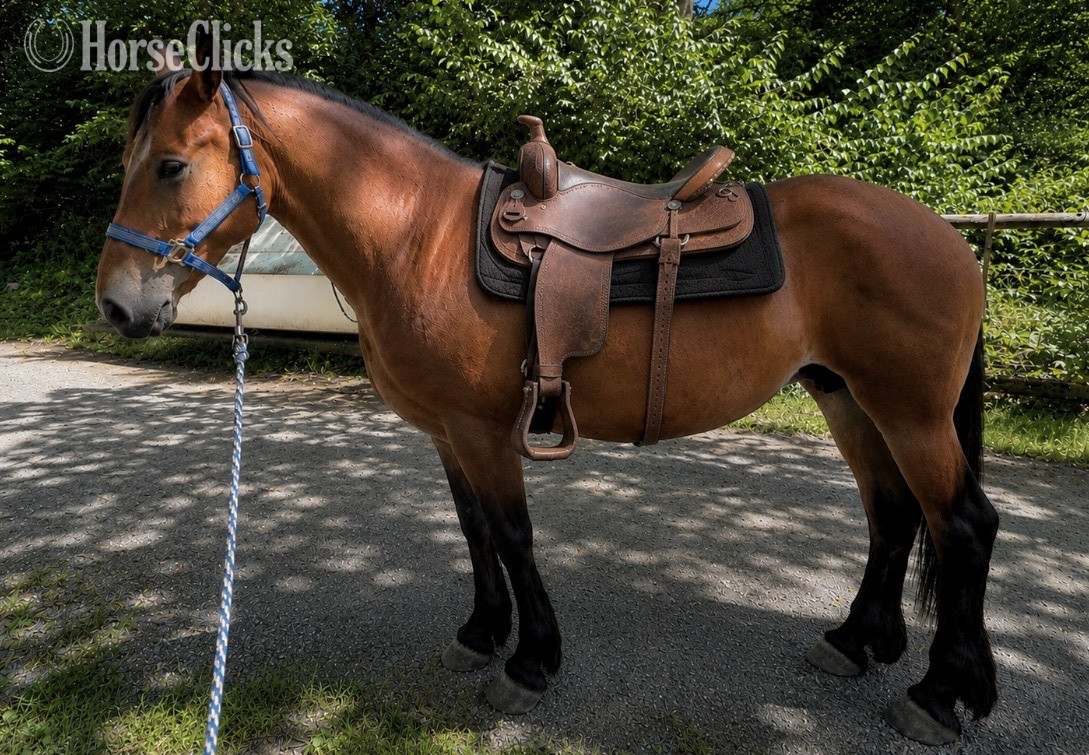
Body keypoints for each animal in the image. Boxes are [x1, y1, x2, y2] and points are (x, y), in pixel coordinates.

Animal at [95, 55, 998, 746]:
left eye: (170, 165)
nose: (116, 305)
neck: (419, 236)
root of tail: (947, 237)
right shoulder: (446, 432)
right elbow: (473, 532)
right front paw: (480, 633)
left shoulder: (483, 429)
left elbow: (512, 534)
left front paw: (529, 663)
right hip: (848, 400)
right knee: (892, 515)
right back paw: (857, 640)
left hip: (909, 412)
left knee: (962, 525)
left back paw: (940, 693)